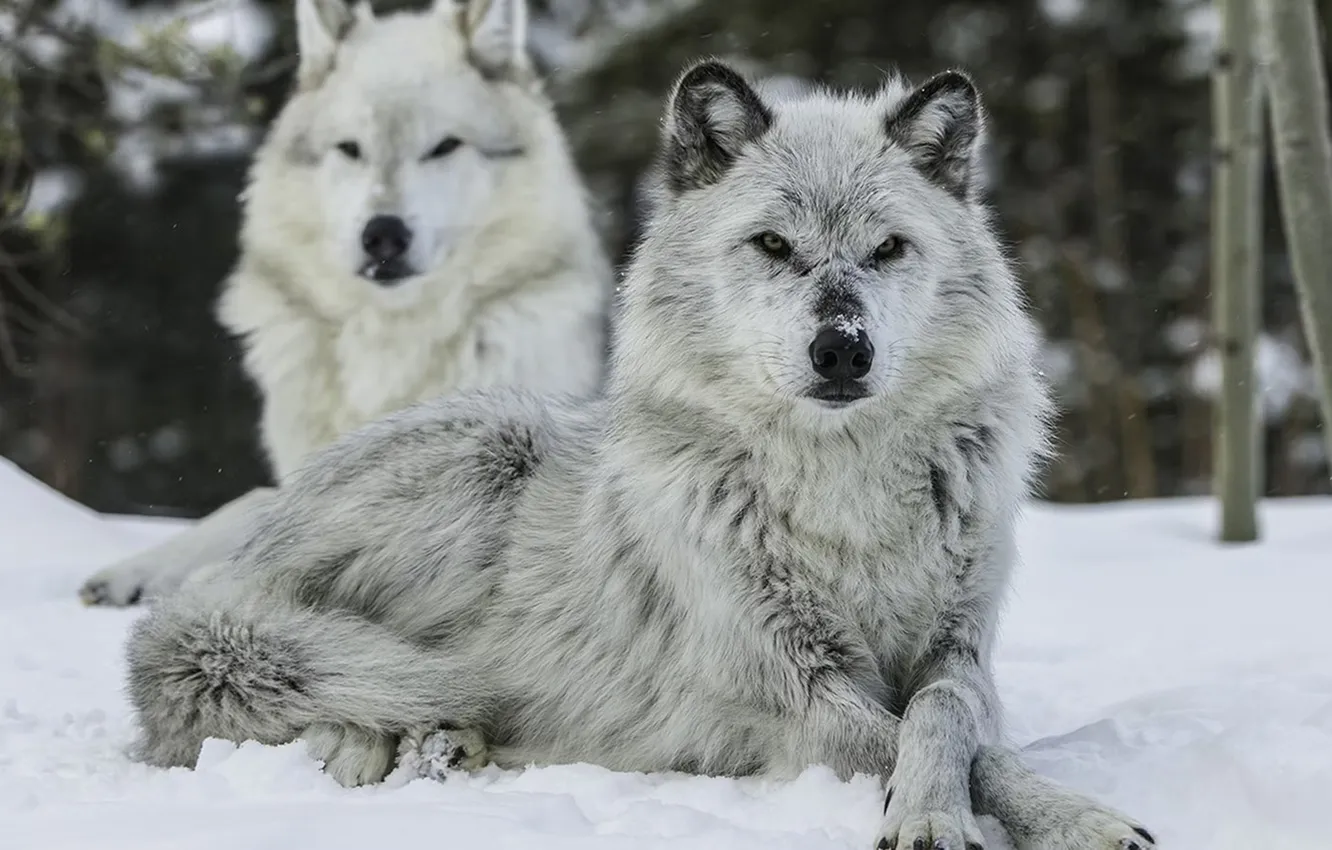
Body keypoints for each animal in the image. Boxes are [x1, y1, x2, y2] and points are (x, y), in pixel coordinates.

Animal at [78, 0, 611, 607]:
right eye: (351, 149)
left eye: (444, 146)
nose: (383, 235)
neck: (391, 348)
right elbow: (251, 503)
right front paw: (139, 569)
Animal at [124, 59, 1156, 850]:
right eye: (773, 244)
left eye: (888, 248)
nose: (842, 349)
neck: (841, 488)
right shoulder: (789, 691)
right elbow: (925, 745)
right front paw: (955, 820)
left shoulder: (960, 652)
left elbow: (953, 727)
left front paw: (1056, 817)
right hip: (484, 450)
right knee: (272, 683)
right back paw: (383, 742)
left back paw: (449, 743)